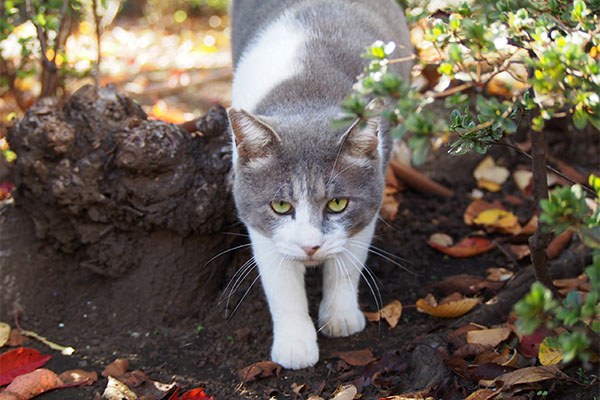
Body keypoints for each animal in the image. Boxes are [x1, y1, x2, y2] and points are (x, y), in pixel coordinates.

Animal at [227, 0, 414, 368]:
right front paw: (295, 345)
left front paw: (340, 317)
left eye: (337, 203)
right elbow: (281, 285)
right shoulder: (259, 222)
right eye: (281, 206)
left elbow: (348, 264)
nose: (310, 247)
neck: (303, 87)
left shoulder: (367, 205)